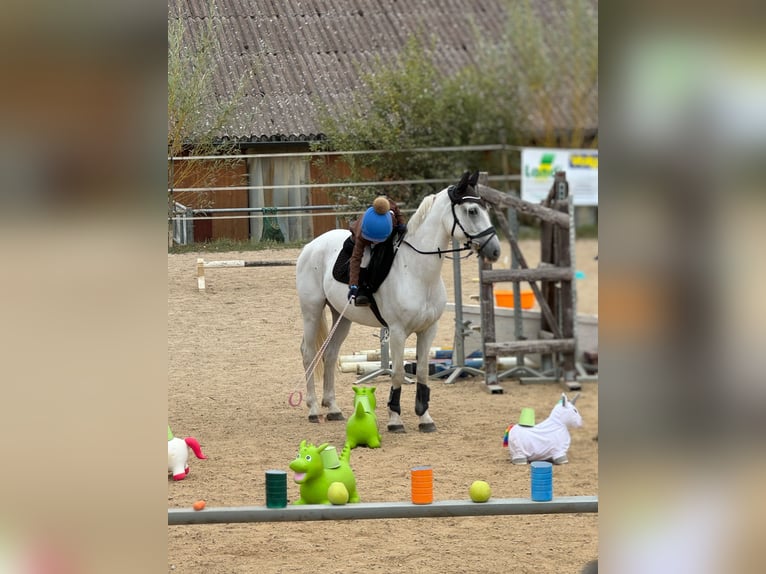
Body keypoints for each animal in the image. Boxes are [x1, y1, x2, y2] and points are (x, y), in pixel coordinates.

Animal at [296, 173, 504, 434]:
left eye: (485, 208)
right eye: (472, 211)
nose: (495, 251)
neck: (417, 271)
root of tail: (311, 246)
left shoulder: (428, 330)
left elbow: (423, 371)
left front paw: (425, 418)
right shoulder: (397, 332)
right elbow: (395, 373)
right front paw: (395, 420)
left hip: (342, 317)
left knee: (331, 354)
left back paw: (333, 408)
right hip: (312, 311)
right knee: (308, 353)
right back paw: (313, 408)